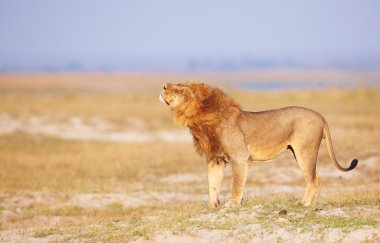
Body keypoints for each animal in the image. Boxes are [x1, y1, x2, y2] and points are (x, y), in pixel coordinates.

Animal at [158, 81, 360, 209]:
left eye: (180, 88)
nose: (164, 86)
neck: (200, 118)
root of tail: (321, 116)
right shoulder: (214, 159)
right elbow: (212, 185)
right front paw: (211, 207)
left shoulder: (239, 157)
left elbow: (236, 183)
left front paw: (232, 203)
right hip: (299, 153)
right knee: (317, 178)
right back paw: (313, 205)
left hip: (305, 151)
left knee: (312, 180)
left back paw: (304, 204)